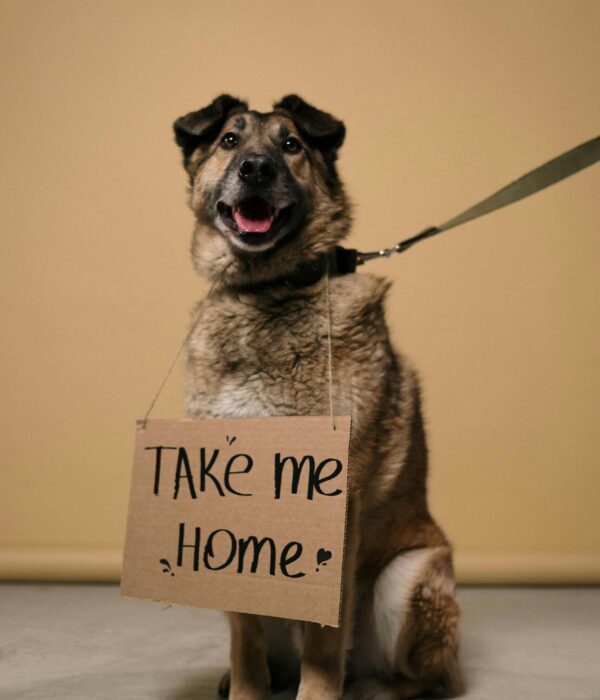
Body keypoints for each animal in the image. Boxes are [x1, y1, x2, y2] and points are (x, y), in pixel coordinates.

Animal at [173, 94, 464, 700]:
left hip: (410, 579)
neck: (265, 292)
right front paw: (247, 690)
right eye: (230, 140)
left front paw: (318, 693)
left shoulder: (338, 507)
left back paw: (372, 689)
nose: (256, 168)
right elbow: (245, 640)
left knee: (423, 677)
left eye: (291, 145)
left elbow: (325, 643)